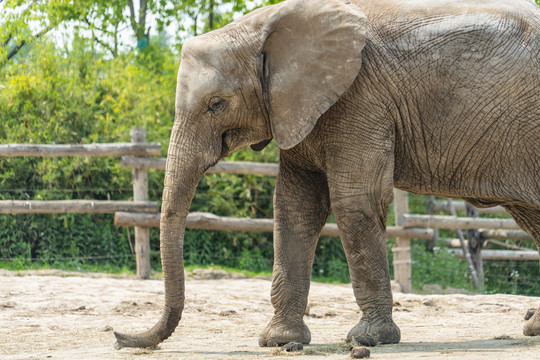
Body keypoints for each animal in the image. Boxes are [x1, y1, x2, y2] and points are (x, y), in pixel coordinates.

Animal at [114, 0, 540, 350]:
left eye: (216, 105)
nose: (119, 337)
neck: (263, 25)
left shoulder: (361, 98)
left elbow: (355, 202)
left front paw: (368, 340)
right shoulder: (298, 105)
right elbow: (295, 206)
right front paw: (279, 342)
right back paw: (533, 328)